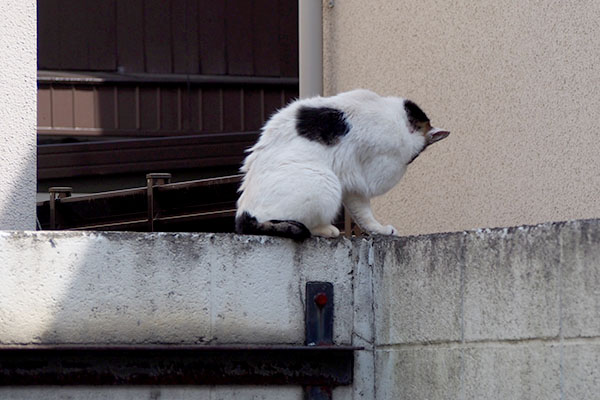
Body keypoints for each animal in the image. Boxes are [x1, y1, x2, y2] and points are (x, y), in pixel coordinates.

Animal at [234, 89, 450, 239]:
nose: (412, 158)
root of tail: (243, 215)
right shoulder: (367, 176)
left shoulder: (353, 183)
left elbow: (363, 214)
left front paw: (378, 230)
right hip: (324, 181)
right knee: (300, 225)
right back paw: (328, 230)